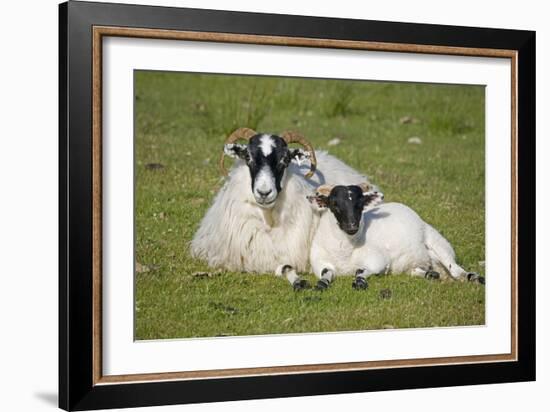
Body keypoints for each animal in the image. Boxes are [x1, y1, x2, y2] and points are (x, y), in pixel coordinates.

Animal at [308, 183, 486, 290]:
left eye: (361, 204)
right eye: (334, 204)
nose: (352, 226)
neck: (345, 251)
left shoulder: (378, 260)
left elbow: (361, 271)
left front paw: (360, 281)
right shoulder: (319, 263)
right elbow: (325, 274)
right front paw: (322, 284)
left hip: (437, 241)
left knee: (455, 269)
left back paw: (475, 278)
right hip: (413, 262)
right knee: (417, 270)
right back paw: (430, 274)